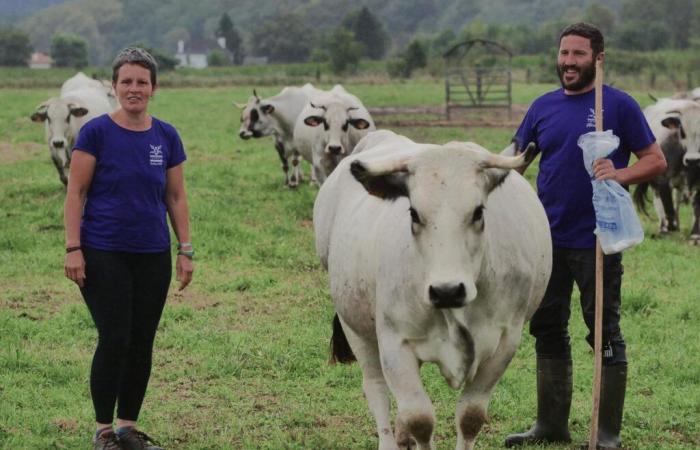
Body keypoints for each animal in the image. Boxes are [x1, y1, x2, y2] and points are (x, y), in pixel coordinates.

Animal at [316, 128, 552, 448]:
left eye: (478, 212)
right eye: (414, 213)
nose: (447, 290)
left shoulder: (505, 342)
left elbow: (470, 416)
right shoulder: (394, 343)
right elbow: (420, 419)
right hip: (355, 327)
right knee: (376, 389)